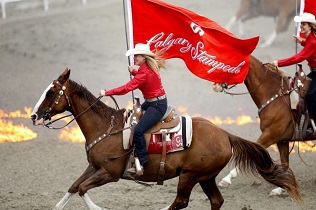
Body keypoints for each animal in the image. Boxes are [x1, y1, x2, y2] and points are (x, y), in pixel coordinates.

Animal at [30, 68, 302, 209]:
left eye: (51, 92)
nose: (33, 116)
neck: (106, 127)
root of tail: (225, 134)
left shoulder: (110, 173)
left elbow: (82, 189)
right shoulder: (93, 167)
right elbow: (74, 187)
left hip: (190, 176)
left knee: (181, 201)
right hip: (206, 177)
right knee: (216, 200)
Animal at [217, 55, 316, 195]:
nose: (216, 85)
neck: (275, 96)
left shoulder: (269, 135)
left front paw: (226, 180)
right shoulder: (281, 140)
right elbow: (285, 163)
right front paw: (281, 188)